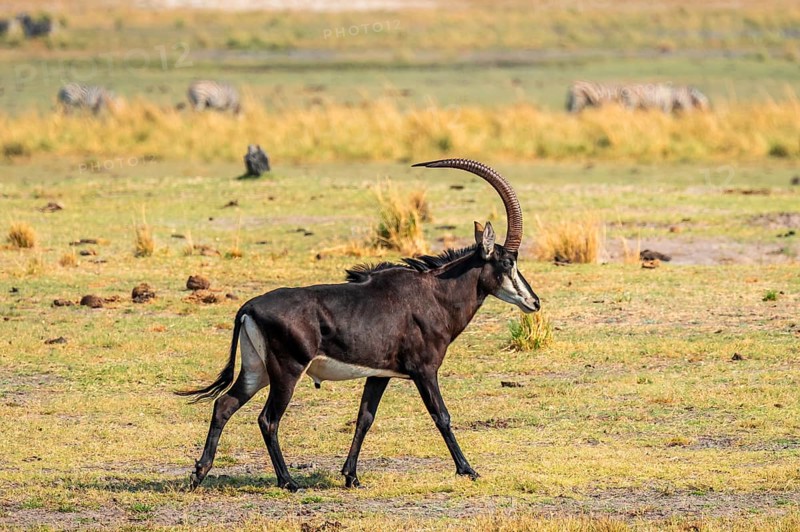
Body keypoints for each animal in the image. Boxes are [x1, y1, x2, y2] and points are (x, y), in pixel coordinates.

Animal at [178, 158, 540, 491]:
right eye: (507, 262)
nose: (534, 302)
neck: (434, 292)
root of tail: (249, 307)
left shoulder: (379, 374)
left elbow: (364, 418)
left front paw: (350, 476)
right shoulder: (424, 370)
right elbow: (442, 415)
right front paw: (468, 470)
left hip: (257, 370)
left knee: (224, 405)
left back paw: (198, 475)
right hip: (287, 371)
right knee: (267, 419)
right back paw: (288, 481)